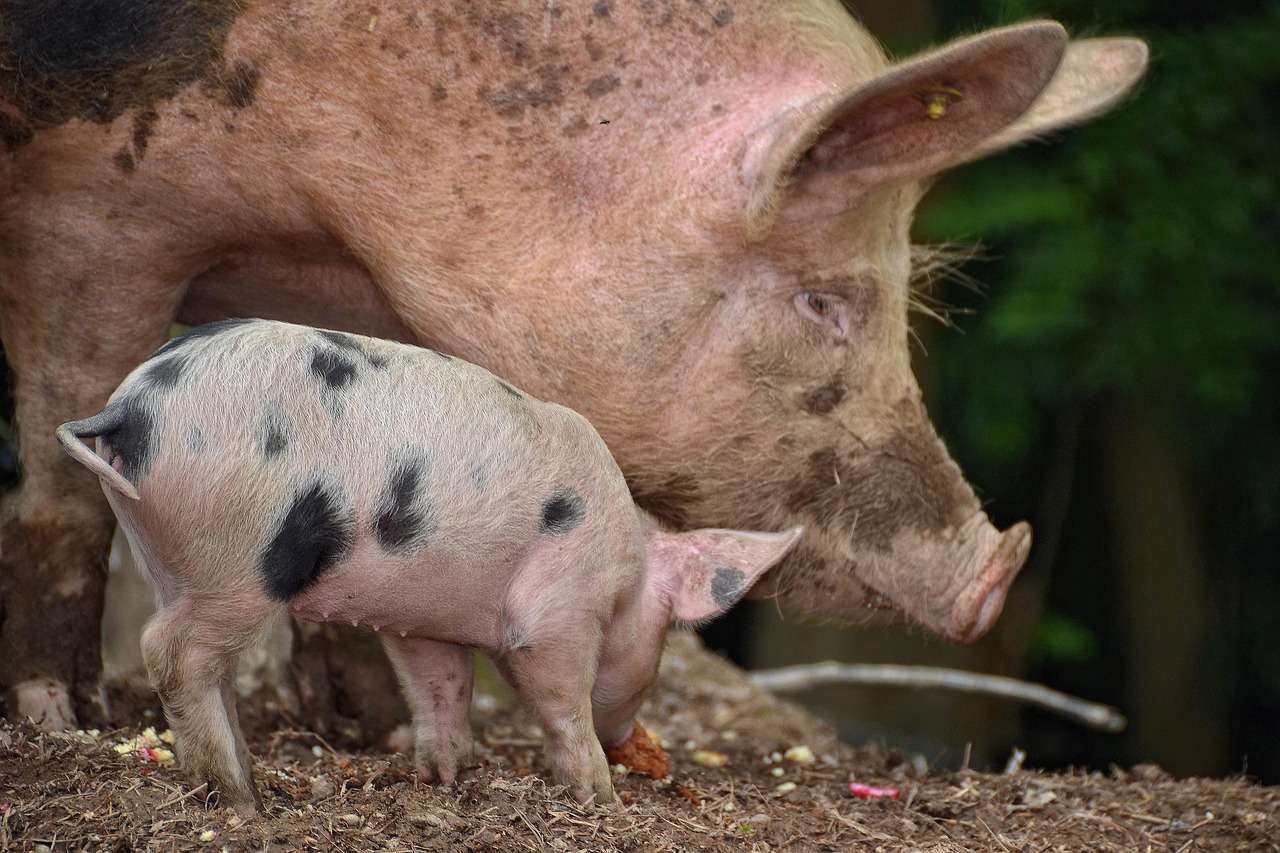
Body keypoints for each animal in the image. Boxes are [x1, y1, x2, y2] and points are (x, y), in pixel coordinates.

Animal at [0, 0, 1148, 730]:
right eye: (825, 302)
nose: (994, 573)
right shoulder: (94, 206)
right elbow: (62, 471)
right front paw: (62, 721)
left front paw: (371, 731)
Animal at [56, 318, 803, 809]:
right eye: (666, 639)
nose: (631, 740)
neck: (628, 566)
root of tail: (131, 408)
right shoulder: (559, 608)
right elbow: (560, 695)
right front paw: (600, 796)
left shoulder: (423, 619)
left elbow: (442, 687)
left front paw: (445, 778)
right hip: (241, 554)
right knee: (170, 651)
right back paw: (243, 799)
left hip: (166, 552)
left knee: (203, 663)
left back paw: (247, 778)